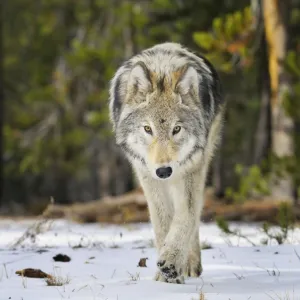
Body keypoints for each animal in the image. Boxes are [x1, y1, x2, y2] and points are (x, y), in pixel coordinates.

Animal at [109, 42, 224, 284]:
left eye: (176, 129)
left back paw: (189, 265)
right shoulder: (147, 175)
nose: (164, 171)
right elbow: (162, 223)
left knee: (194, 215)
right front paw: (164, 275)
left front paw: (172, 263)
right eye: (147, 129)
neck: (162, 68)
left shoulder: (190, 170)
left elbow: (185, 217)